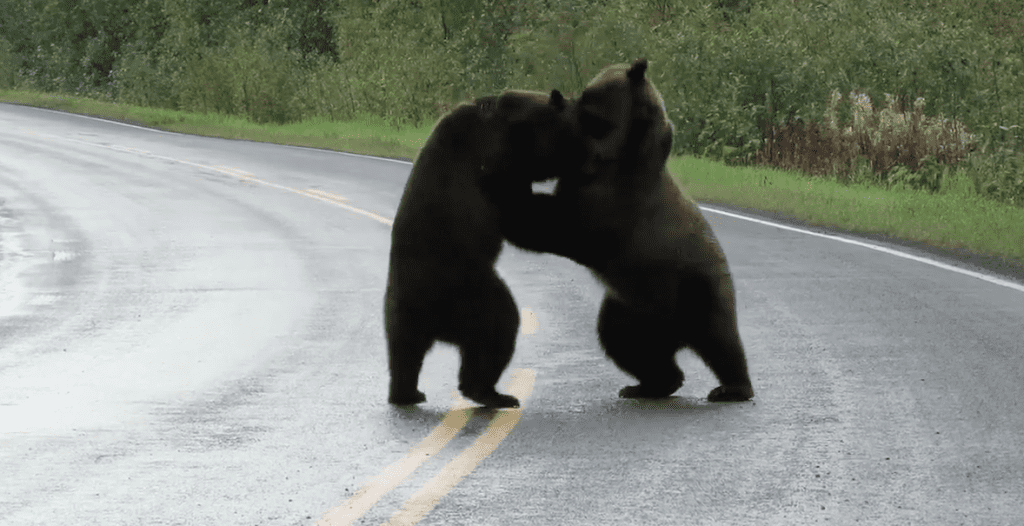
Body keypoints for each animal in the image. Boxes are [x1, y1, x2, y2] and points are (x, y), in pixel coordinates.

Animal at [385, 89, 582, 408]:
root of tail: (435, 324)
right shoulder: (502, 155)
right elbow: (519, 207)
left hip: (402, 311)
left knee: (404, 353)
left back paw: (407, 393)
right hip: (469, 290)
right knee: (498, 326)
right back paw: (492, 393)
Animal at [499, 60, 755, 402]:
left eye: (587, 100)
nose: (562, 97)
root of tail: (673, 335)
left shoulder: (613, 203)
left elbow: (556, 225)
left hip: (696, 287)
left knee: (719, 339)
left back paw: (732, 387)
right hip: (629, 309)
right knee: (625, 344)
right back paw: (649, 384)